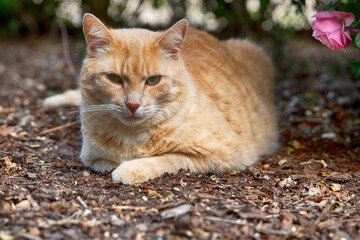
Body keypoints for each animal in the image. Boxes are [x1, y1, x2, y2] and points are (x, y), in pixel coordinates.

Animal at [44, 13, 278, 184]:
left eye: (153, 80)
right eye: (114, 78)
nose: (133, 104)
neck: (131, 137)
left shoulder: (223, 154)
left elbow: (166, 159)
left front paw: (130, 169)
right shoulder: (91, 156)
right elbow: (106, 160)